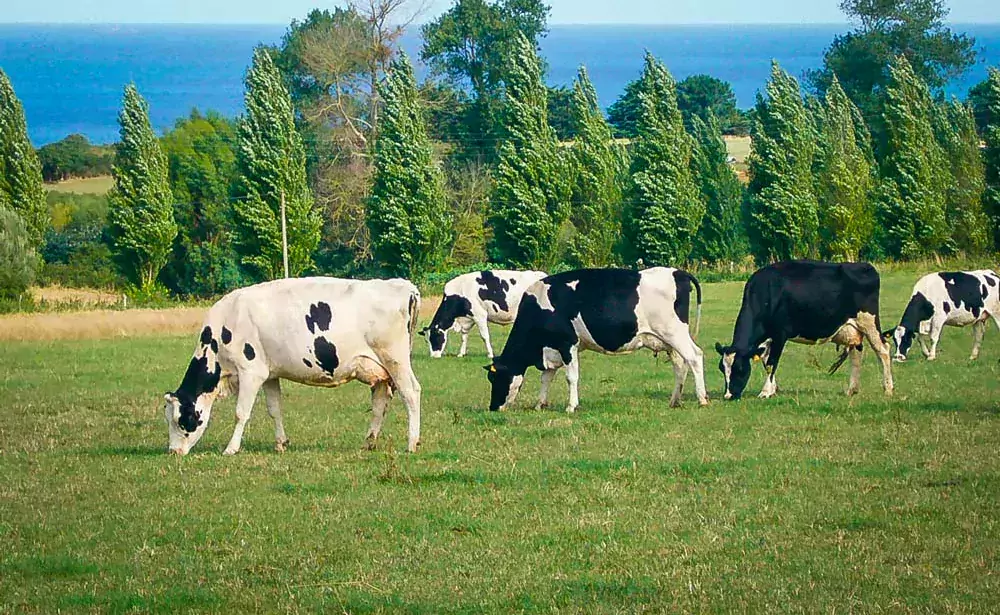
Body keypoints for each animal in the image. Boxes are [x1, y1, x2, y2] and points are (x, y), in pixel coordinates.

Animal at [159, 276, 422, 454]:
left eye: (181, 419)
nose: (173, 452)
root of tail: (403, 286)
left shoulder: (250, 372)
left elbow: (241, 413)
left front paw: (231, 448)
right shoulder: (269, 374)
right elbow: (274, 409)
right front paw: (281, 443)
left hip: (395, 360)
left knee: (411, 393)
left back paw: (412, 443)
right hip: (380, 370)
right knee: (380, 403)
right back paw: (369, 441)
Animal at [420, 270, 552, 360]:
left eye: (435, 337)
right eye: (426, 341)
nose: (433, 356)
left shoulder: (480, 315)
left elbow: (485, 336)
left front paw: (490, 354)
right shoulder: (468, 319)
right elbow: (464, 336)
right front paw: (461, 353)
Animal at [486, 268, 712, 414]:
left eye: (496, 379)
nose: (492, 408)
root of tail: (678, 272)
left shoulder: (568, 344)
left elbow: (571, 377)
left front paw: (571, 407)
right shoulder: (552, 349)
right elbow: (546, 378)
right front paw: (540, 404)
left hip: (675, 332)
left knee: (694, 357)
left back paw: (702, 399)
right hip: (669, 340)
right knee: (680, 364)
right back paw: (674, 401)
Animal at [716, 262, 896, 402]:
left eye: (740, 369)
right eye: (722, 369)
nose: (728, 396)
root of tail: (865, 266)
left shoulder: (780, 333)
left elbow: (771, 363)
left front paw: (765, 392)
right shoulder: (767, 338)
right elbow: (766, 361)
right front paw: (773, 389)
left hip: (869, 322)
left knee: (883, 349)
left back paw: (888, 388)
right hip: (854, 329)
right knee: (856, 355)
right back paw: (852, 389)